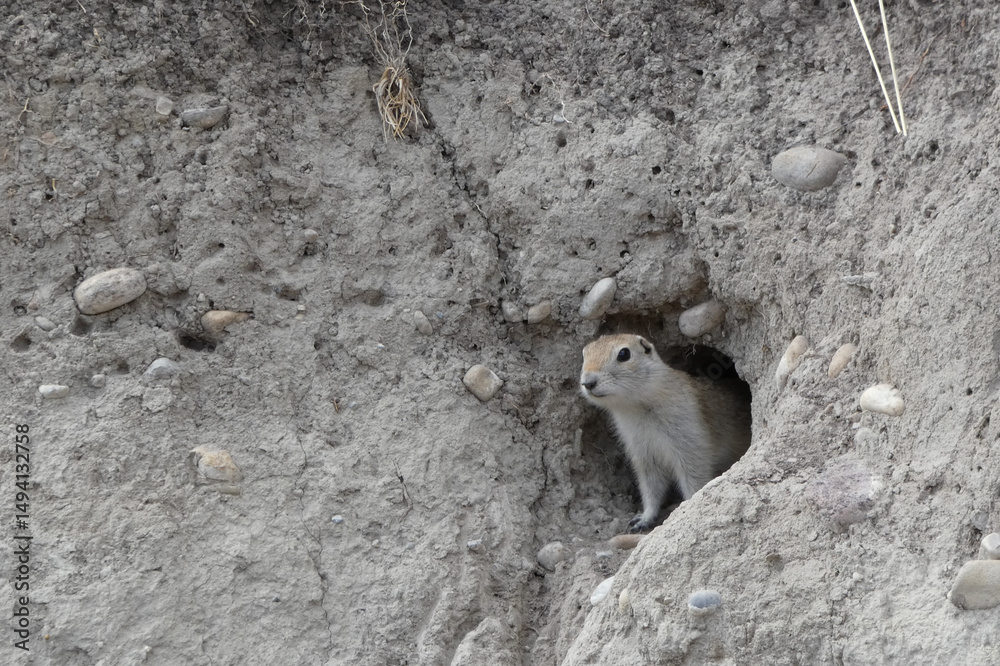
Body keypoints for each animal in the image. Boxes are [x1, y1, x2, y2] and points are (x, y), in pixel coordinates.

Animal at [580, 333, 752, 532]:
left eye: (624, 354)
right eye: (585, 353)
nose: (587, 382)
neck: (638, 408)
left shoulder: (690, 444)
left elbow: (694, 480)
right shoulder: (643, 454)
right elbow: (651, 488)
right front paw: (642, 519)